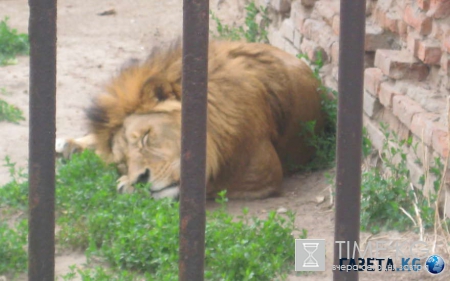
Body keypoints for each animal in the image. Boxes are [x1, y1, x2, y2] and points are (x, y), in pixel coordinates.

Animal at [55, 41, 324, 199]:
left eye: (146, 137)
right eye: (123, 162)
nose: (140, 179)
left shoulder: (260, 169)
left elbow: (207, 180)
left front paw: (126, 186)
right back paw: (69, 146)